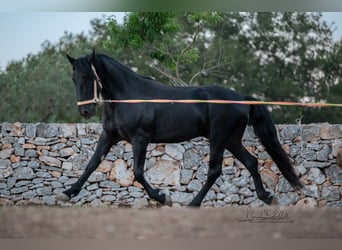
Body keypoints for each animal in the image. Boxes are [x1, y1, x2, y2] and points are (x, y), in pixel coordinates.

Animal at [56, 50, 302, 207]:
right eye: (74, 77)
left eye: (89, 76)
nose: (85, 111)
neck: (127, 97)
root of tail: (241, 98)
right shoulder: (109, 136)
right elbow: (91, 164)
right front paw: (68, 193)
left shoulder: (140, 139)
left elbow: (138, 172)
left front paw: (162, 197)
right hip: (232, 140)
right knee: (251, 162)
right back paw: (266, 197)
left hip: (219, 139)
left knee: (215, 171)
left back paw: (193, 203)